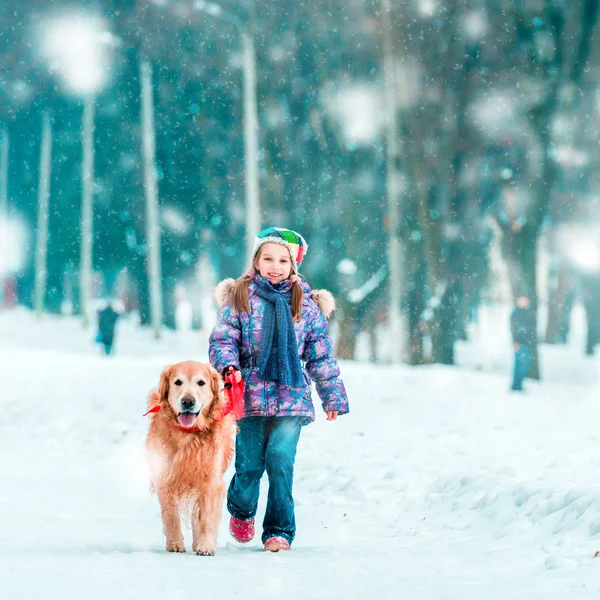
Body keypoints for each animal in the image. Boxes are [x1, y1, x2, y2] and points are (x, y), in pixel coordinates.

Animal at [145, 358, 234, 556]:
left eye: (201, 383)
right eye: (178, 382)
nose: (187, 401)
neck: (188, 434)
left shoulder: (211, 481)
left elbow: (207, 518)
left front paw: (206, 546)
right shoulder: (164, 476)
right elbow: (171, 516)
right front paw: (175, 544)